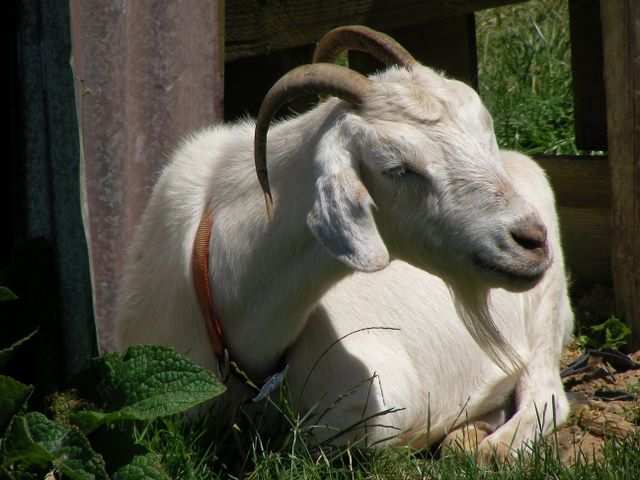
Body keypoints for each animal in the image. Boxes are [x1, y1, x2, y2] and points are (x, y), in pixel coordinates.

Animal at [115, 26, 574, 459]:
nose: (531, 240)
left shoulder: (383, 395)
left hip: (544, 311)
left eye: (485, 130)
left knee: (547, 393)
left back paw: (493, 447)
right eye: (397, 167)